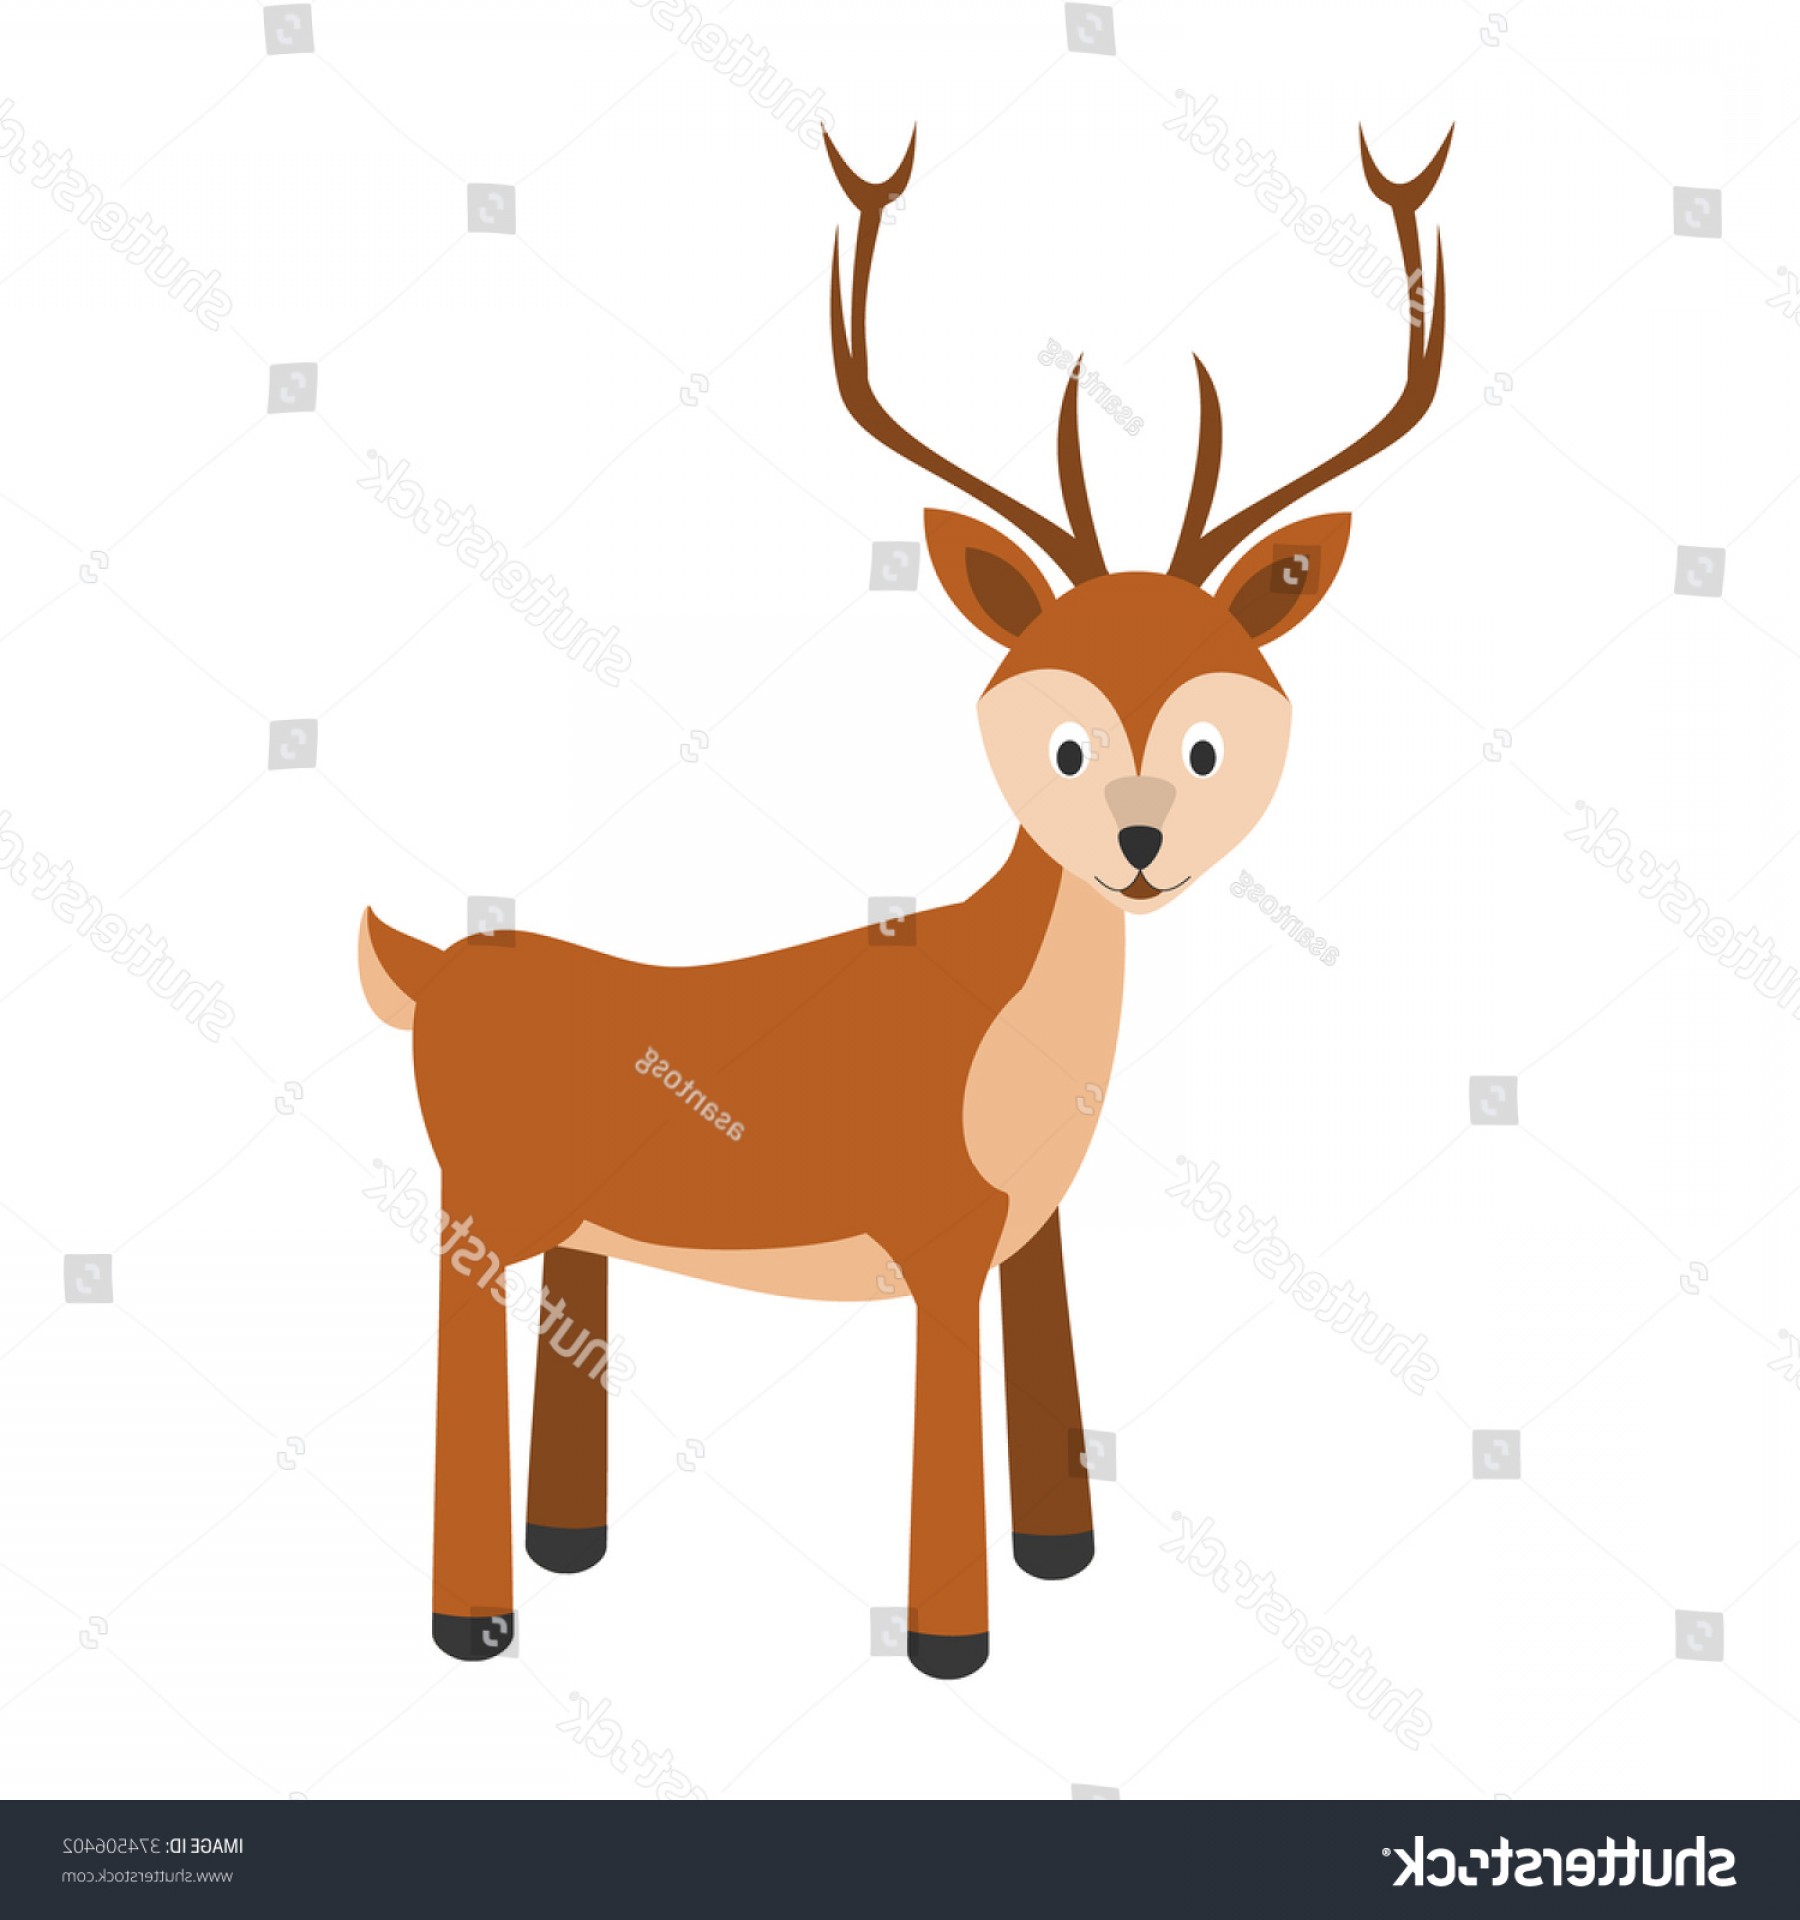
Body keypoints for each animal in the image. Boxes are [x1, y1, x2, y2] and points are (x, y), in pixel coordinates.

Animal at [358, 121, 1452, 1679]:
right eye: (1063, 742)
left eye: (1205, 742)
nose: (1137, 846)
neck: (1007, 1020)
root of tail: (431, 967)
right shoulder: (935, 1240)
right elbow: (949, 1432)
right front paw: (952, 1646)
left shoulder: (1036, 1232)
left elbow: (1051, 1398)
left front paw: (1062, 1564)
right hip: (481, 1211)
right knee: (464, 1335)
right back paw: (477, 1624)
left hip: (579, 1224)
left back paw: (570, 1547)